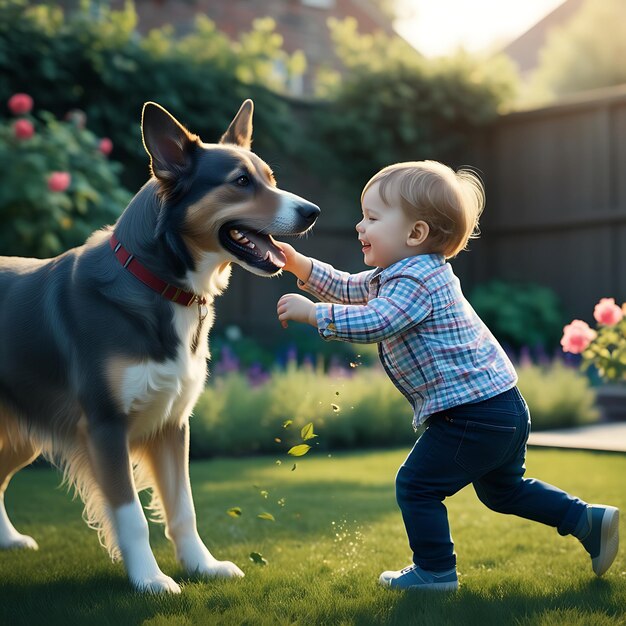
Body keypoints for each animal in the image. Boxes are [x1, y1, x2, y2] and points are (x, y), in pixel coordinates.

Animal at [0, 98, 320, 588]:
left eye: (270, 177)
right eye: (240, 182)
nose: (312, 211)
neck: (157, 281)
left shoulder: (172, 423)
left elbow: (183, 508)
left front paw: (202, 566)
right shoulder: (105, 426)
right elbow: (131, 516)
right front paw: (150, 581)